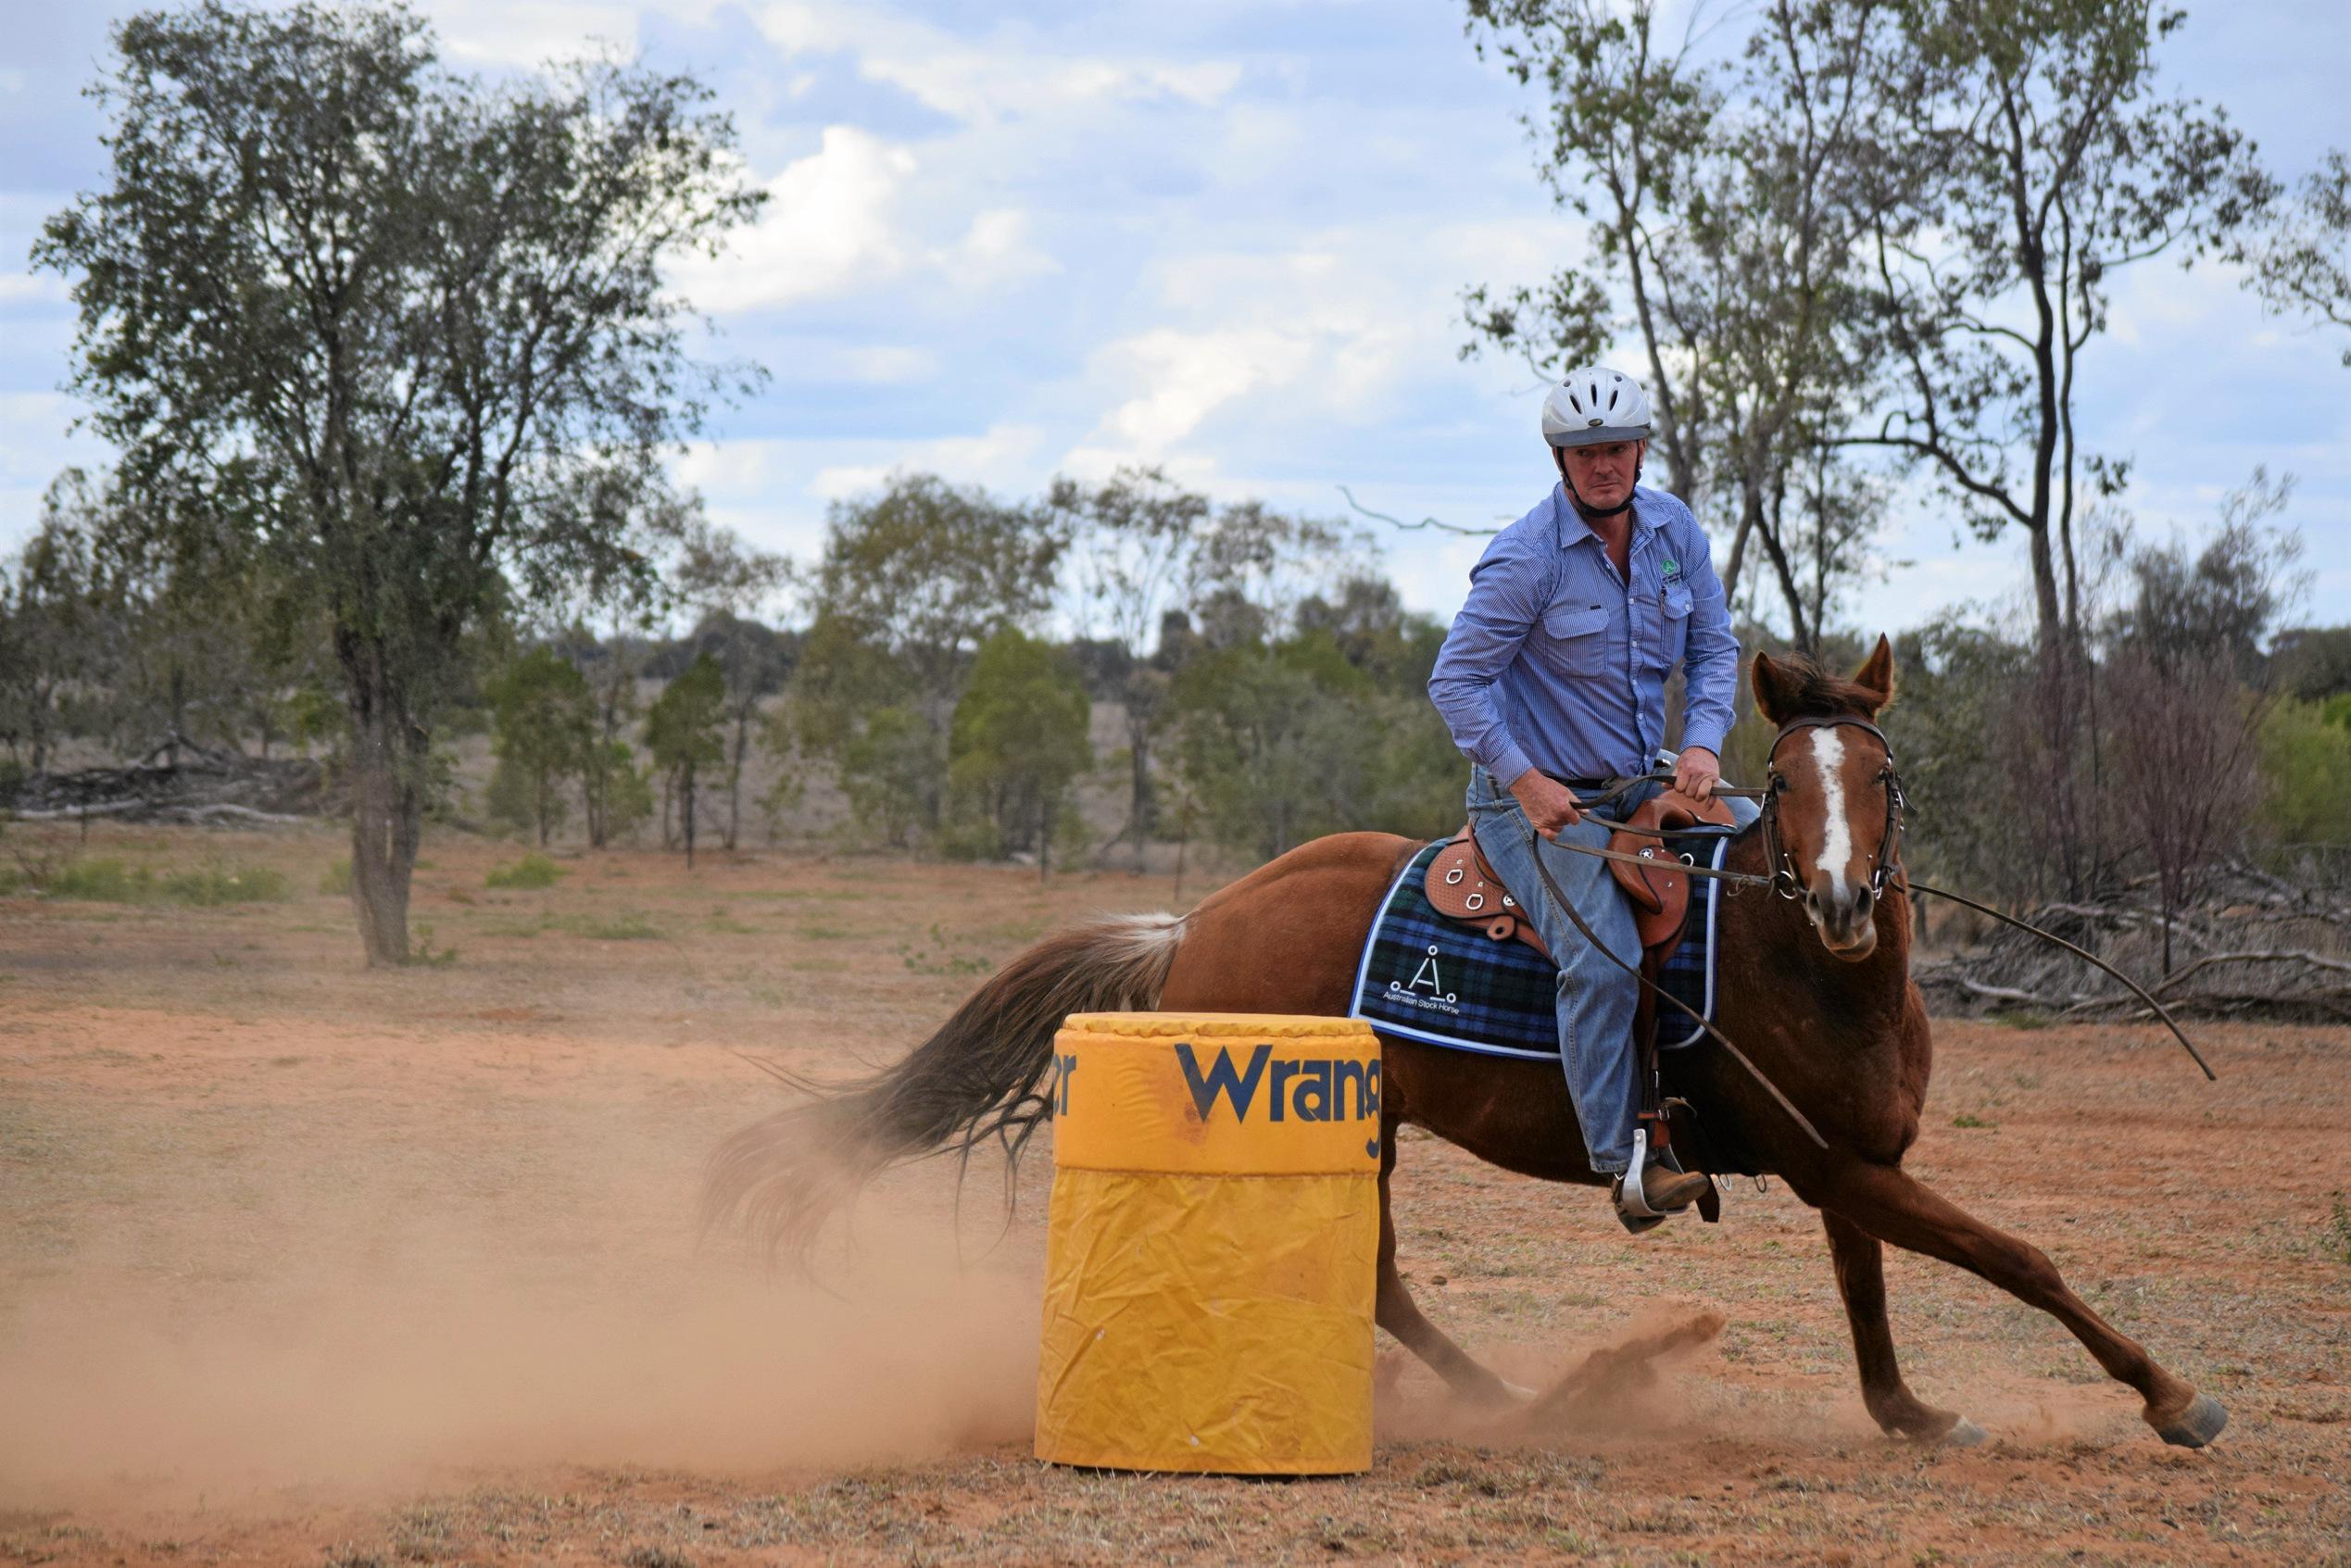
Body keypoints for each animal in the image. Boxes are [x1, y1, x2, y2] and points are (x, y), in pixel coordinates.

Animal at [705, 639, 2229, 1448]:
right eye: (1785, 778)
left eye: (1884, 775)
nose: (1847, 897)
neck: (1816, 975)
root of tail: (1200, 919)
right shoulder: (1839, 1169)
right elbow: (2015, 1257)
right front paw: (2170, 1397)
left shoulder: (1853, 1165)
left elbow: (1871, 1293)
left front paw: (1909, 1411)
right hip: (1339, 1121)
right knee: (1379, 1281)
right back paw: (1513, 1399)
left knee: (1380, 1282)